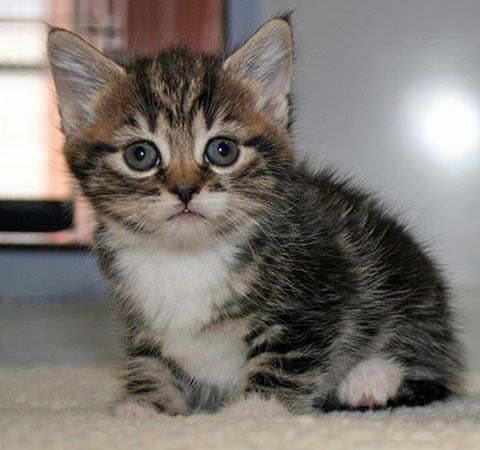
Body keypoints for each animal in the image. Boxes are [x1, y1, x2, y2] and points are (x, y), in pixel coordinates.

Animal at [48, 15, 464, 416]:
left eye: (222, 150)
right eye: (140, 155)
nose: (184, 190)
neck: (186, 256)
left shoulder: (315, 292)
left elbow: (285, 356)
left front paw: (257, 409)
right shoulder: (140, 319)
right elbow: (149, 360)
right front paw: (143, 406)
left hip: (402, 280)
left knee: (428, 364)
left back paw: (372, 377)